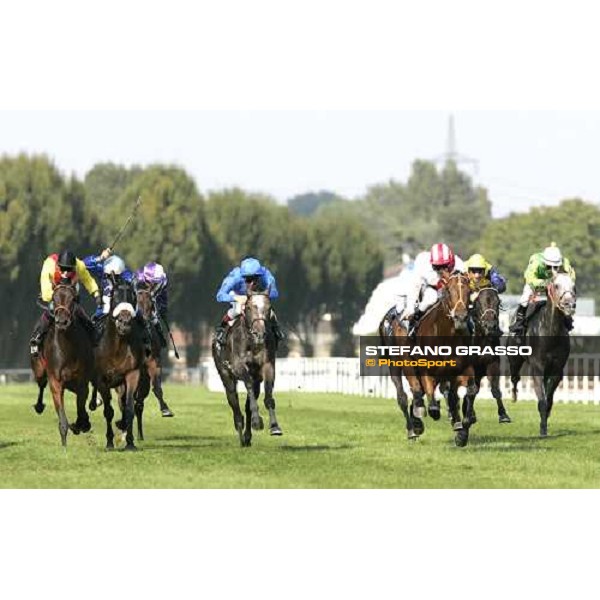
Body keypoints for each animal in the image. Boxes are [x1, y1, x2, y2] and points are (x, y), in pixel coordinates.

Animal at [29, 284, 94, 448]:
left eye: (73, 299)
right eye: (54, 298)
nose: (62, 321)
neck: (67, 347)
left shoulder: (82, 381)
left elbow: (81, 406)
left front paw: (81, 424)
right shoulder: (56, 382)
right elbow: (63, 417)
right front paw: (65, 443)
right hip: (39, 370)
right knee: (41, 384)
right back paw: (39, 406)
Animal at [94, 276, 146, 450]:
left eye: (133, 296)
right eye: (113, 296)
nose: (125, 323)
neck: (118, 346)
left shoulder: (132, 373)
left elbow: (129, 408)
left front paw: (130, 442)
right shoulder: (102, 379)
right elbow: (108, 411)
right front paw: (109, 442)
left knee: (123, 404)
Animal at [212, 288, 282, 448]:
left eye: (269, 308)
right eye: (249, 307)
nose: (259, 334)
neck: (252, 343)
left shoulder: (268, 365)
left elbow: (268, 396)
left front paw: (274, 426)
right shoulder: (238, 366)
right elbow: (247, 384)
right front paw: (257, 422)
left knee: (248, 403)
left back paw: (248, 436)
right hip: (226, 377)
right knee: (235, 405)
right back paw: (241, 434)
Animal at [508, 276, 576, 436]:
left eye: (573, 286)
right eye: (556, 285)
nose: (569, 304)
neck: (550, 332)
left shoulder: (557, 369)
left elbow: (549, 399)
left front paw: (546, 419)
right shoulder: (537, 368)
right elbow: (542, 401)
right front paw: (543, 430)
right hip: (514, 359)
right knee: (514, 378)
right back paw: (514, 396)